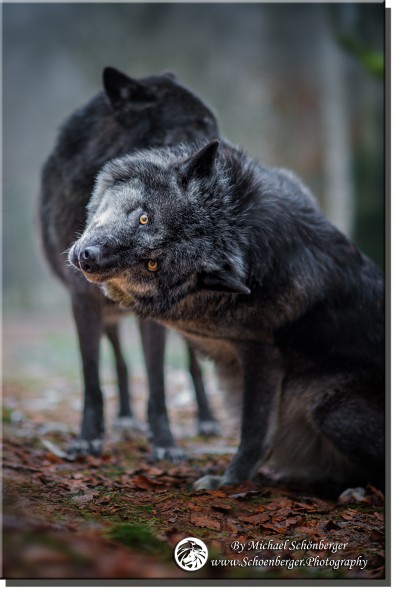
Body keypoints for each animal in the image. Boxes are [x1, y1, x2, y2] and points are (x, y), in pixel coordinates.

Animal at [39, 67, 220, 460]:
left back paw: (207, 420)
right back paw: (124, 417)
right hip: (108, 316)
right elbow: (92, 376)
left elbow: (157, 379)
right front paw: (89, 437)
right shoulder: (82, 300)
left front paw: (164, 441)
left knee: (193, 364)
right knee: (120, 361)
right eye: (198, 124)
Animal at [68, 141, 386, 492]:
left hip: (334, 413)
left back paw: (352, 492)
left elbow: (254, 433)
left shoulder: (262, 354)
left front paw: (229, 480)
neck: (240, 229)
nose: (89, 258)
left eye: (152, 264)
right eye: (144, 217)